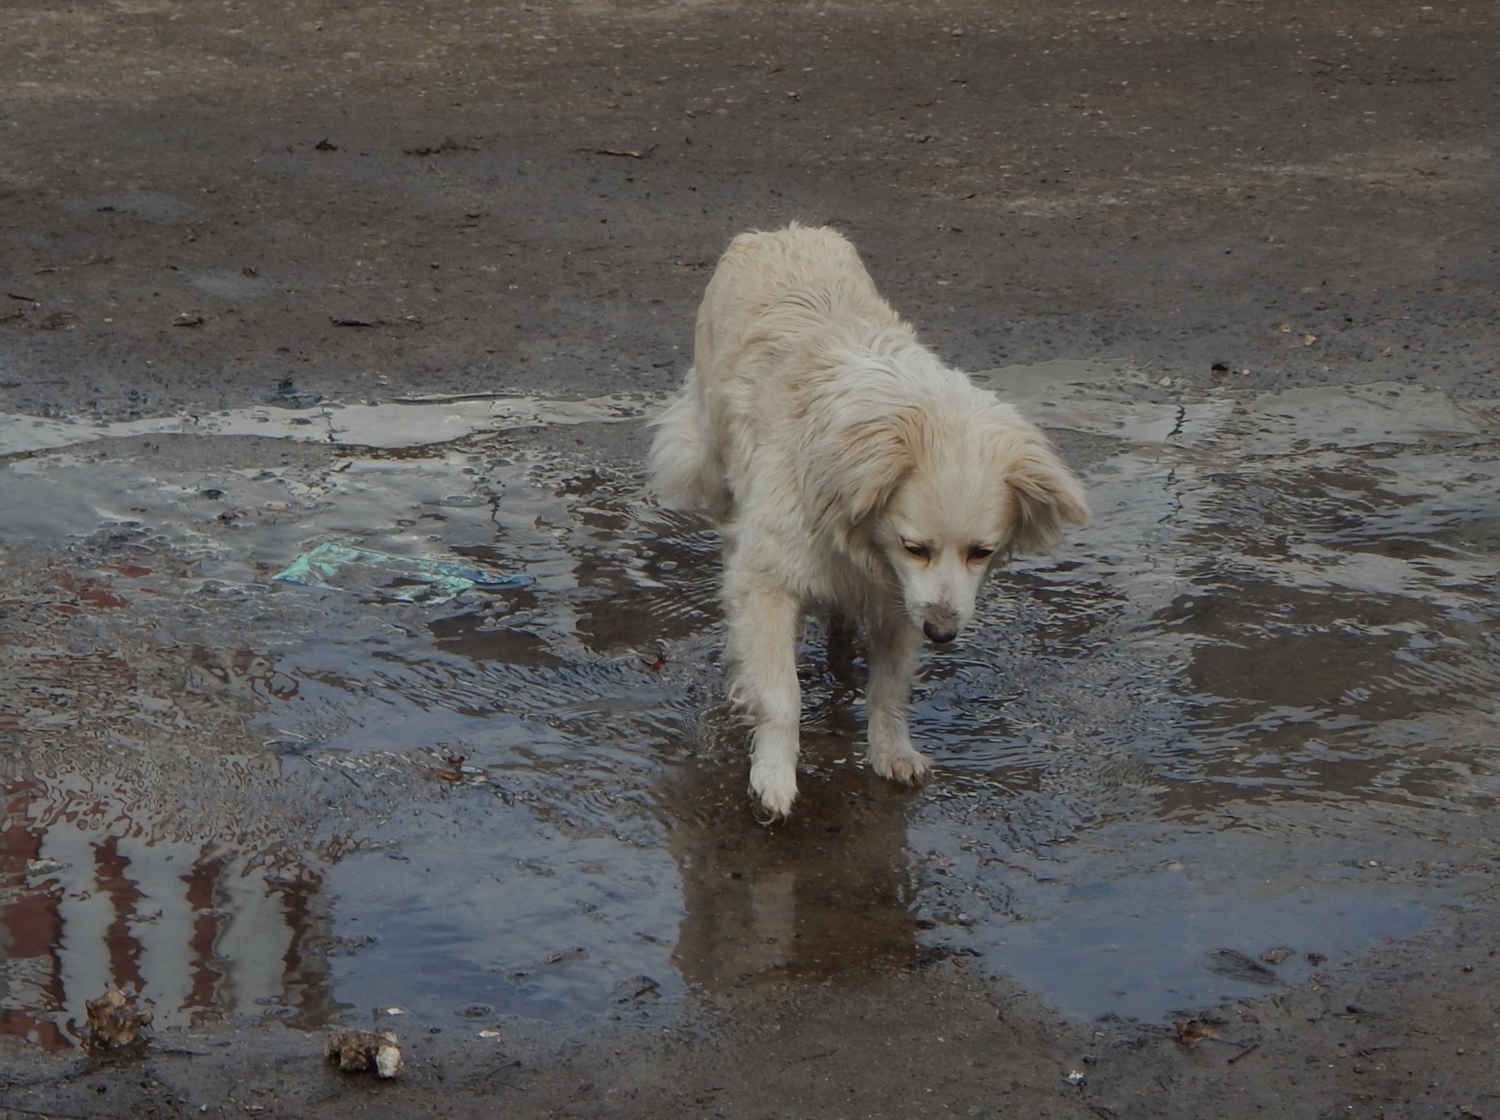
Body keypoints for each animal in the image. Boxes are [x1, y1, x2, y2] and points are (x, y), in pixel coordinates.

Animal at [651, 227, 1086, 821]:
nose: (942, 634)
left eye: (982, 551)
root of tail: (780, 231)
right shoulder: (772, 584)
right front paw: (773, 777)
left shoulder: (903, 598)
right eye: (915, 545)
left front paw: (891, 753)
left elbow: (889, 689)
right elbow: (781, 693)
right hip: (717, 471)